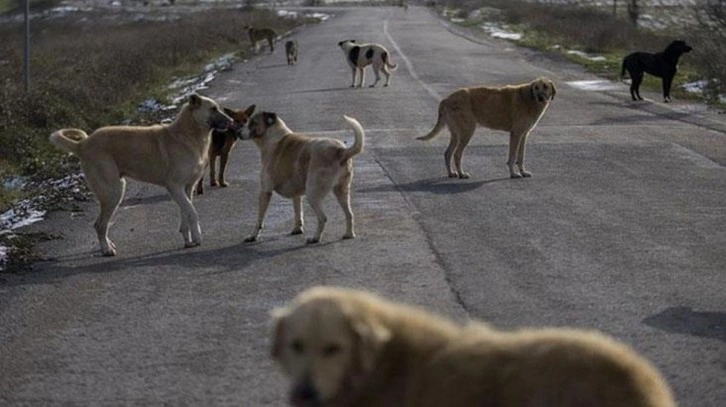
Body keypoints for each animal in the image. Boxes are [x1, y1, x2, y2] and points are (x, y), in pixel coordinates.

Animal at [49, 94, 232, 256]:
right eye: (213, 109)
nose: (231, 122)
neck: (188, 134)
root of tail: (82, 144)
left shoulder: (186, 188)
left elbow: (185, 213)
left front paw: (189, 240)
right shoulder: (175, 187)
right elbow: (192, 212)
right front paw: (198, 237)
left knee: (102, 224)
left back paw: (108, 245)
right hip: (113, 192)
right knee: (99, 225)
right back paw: (106, 250)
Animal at [239, 112, 364, 245]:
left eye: (253, 123)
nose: (237, 132)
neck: (272, 136)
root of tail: (341, 151)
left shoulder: (265, 191)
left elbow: (259, 219)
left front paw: (253, 236)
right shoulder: (297, 193)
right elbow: (298, 211)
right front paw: (297, 229)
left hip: (313, 193)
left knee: (323, 218)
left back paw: (315, 238)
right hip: (341, 191)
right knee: (349, 214)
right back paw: (349, 234)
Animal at [420, 77, 556, 179]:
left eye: (545, 86)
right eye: (536, 87)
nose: (540, 98)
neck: (529, 99)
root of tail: (447, 99)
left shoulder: (523, 135)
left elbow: (521, 156)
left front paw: (523, 172)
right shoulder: (516, 134)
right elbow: (512, 157)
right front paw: (513, 173)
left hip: (456, 134)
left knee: (447, 153)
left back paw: (452, 173)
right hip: (467, 132)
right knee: (457, 154)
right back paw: (461, 174)